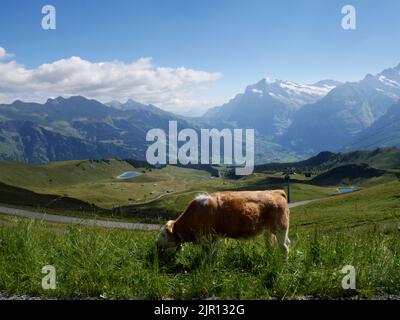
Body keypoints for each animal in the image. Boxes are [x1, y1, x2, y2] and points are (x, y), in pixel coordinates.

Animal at [156, 190, 290, 258]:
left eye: (163, 235)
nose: (156, 244)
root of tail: (277, 192)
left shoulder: (212, 237)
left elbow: (211, 253)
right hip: (268, 231)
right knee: (271, 244)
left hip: (280, 228)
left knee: (285, 248)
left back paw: (283, 263)